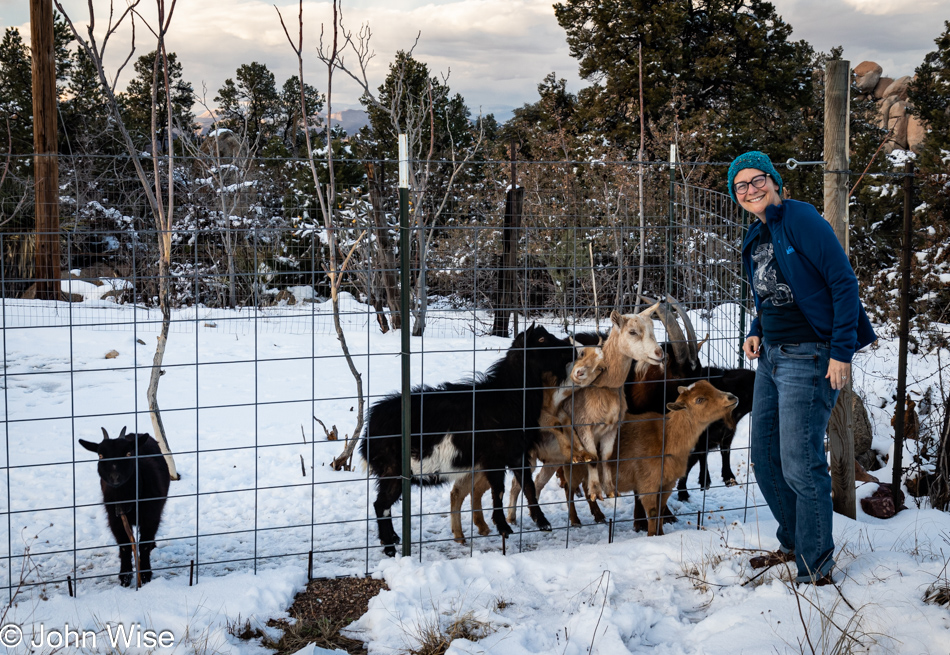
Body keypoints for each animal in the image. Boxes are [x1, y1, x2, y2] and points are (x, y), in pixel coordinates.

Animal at [79, 428, 170, 588]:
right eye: (101, 455)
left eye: (128, 453)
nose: (115, 477)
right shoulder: (115, 519)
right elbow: (125, 545)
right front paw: (125, 576)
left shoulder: (151, 516)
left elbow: (144, 544)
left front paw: (145, 575)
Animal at [360, 326, 572, 556]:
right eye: (541, 339)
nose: (571, 348)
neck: (507, 398)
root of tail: (368, 430)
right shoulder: (493, 457)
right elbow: (498, 490)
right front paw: (503, 527)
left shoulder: (517, 453)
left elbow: (529, 486)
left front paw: (542, 522)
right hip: (392, 470)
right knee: (381, 504)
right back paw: (389, 548)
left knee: (382, 503)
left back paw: (392, 539)